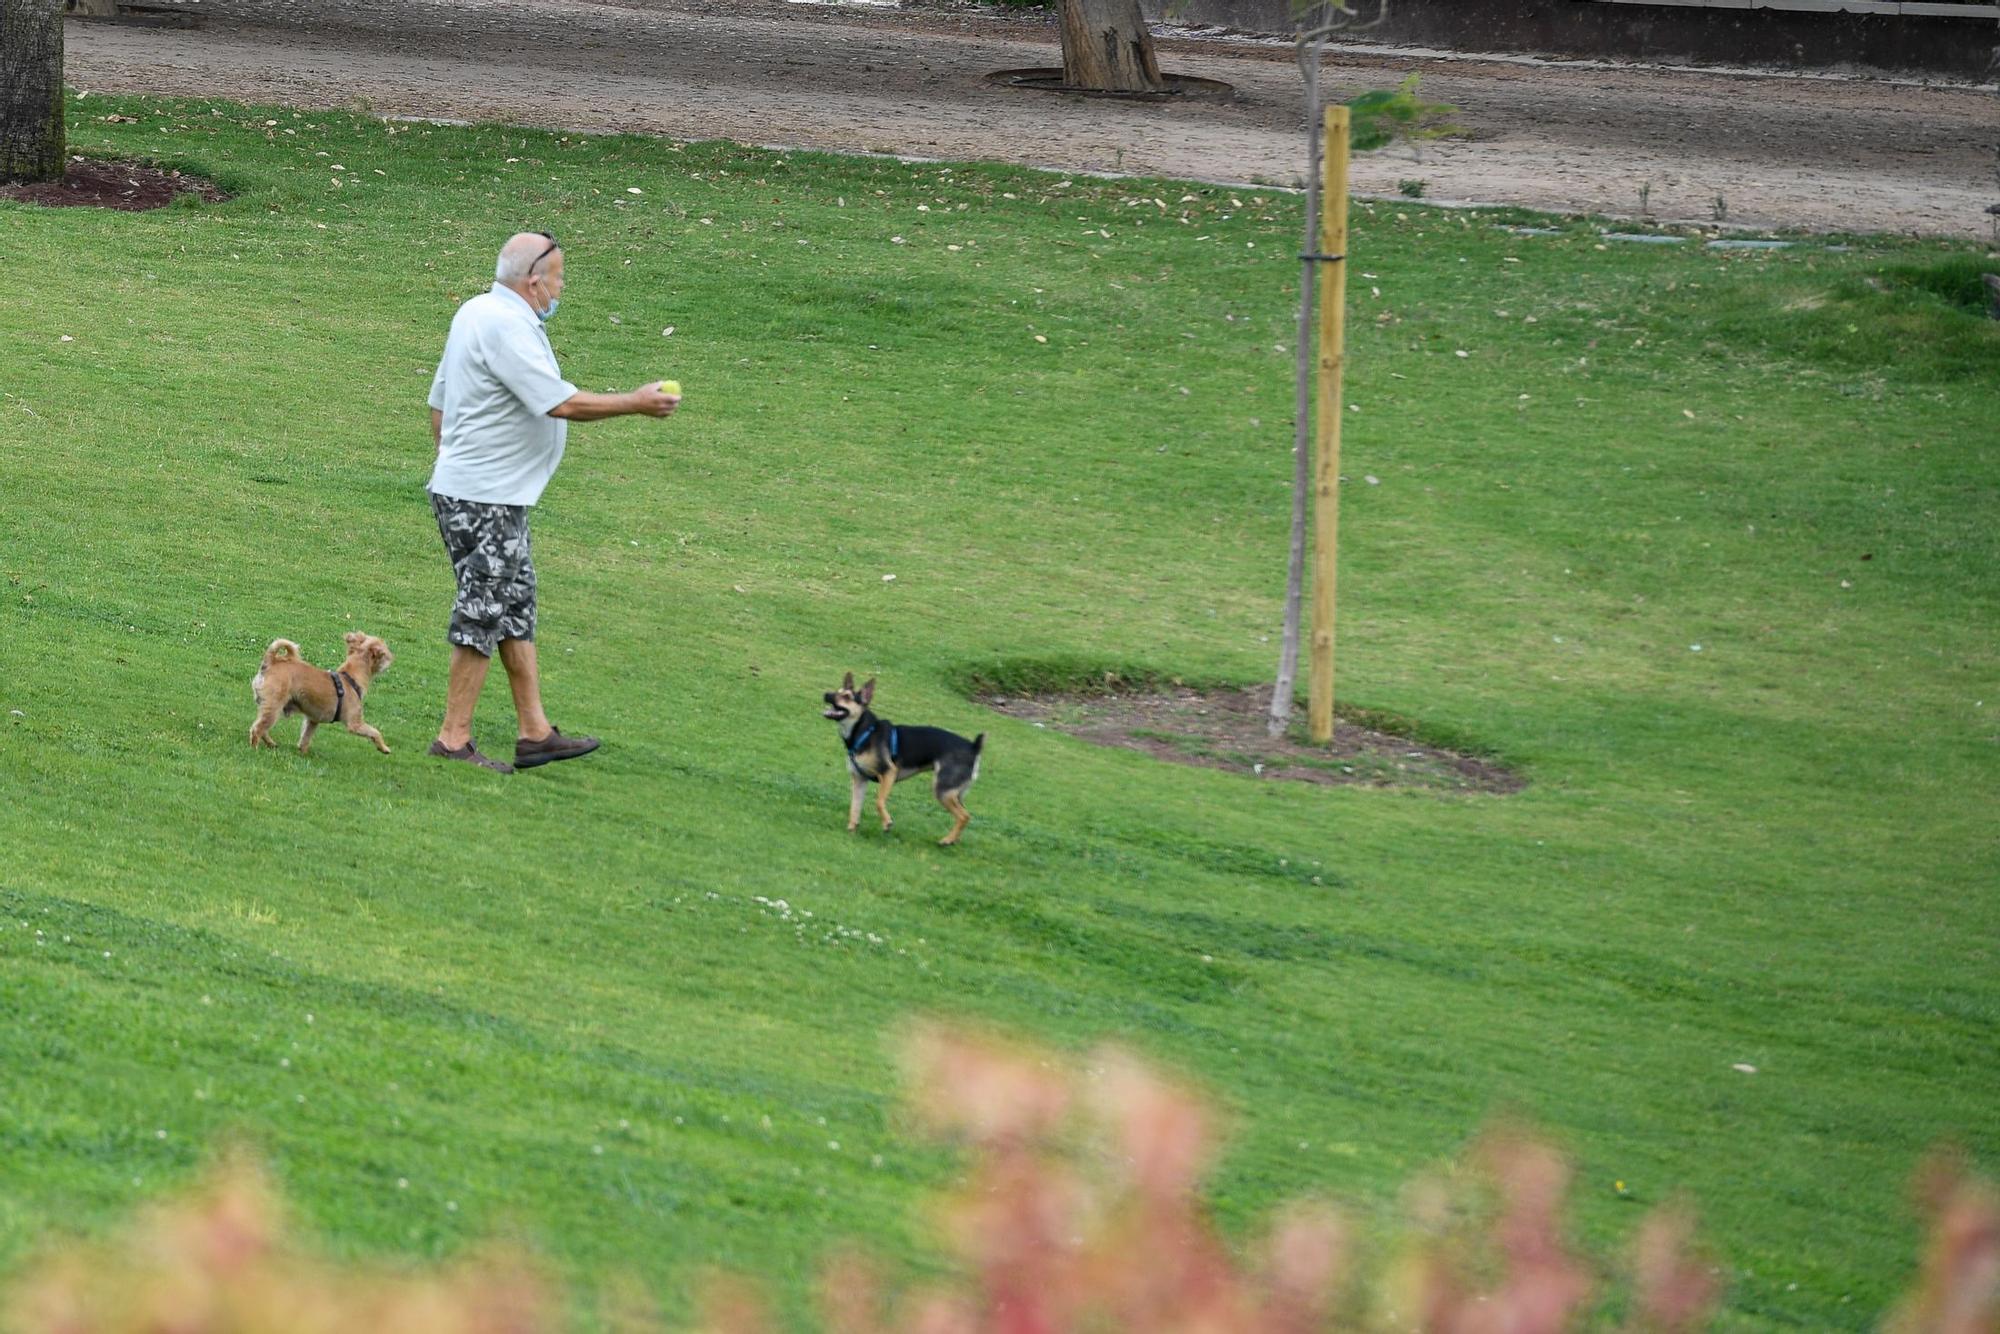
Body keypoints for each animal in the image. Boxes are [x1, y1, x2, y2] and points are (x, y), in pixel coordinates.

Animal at [248, 636, 392, 756]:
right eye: (385, 651)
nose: (392, 657)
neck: (350, 678)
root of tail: (270, 661)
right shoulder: (355, 724)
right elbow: (375, 732)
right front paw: (384, 748)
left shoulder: (313, 719)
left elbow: (306, 737)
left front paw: (303, 753)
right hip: (274, 706)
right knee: (257, 729)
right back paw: (254, 749)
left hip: (268, 706)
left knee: (262, 726)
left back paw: (271, 743)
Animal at [820, 672, 984, 852]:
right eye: (837, 691)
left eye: (847, 697)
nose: (826, 694)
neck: (864, 731)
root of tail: (973, 747)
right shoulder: (859, 780)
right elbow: (855, 807)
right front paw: (851, 829)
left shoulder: (888, 773)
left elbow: (879, 801)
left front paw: (886, 823)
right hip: (954, 791)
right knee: (962, 815)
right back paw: (953, 840)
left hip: (943, 790)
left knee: (964, 816)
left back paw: (946, 840)